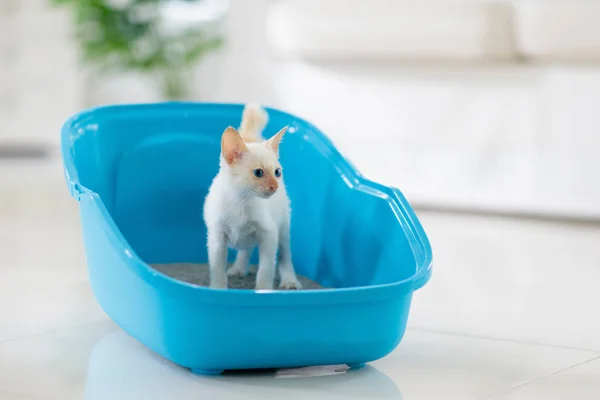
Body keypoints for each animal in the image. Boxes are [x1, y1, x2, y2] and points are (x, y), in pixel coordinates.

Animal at [204, 104, 302, 290]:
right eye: (258, 173)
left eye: (277, 172)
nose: (275, 186)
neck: (242, 201)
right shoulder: (217, 238)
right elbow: (217, 267)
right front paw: (217, 289)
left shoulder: (269, 234)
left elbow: (266, 268)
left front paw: (263, 289)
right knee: (245, 249)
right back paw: (238, 268)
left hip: (284, 227)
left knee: (285, 256)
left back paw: (289, 280)